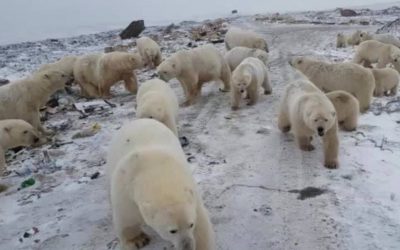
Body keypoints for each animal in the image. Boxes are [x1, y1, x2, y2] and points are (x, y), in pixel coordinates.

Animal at [106, 118, 216, 250]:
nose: (187, 247)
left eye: (191, 224)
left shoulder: (190, 188)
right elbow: (127, 215)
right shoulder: (126, 186)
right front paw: (138, 240)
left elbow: (201, 221)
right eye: (172, 230)